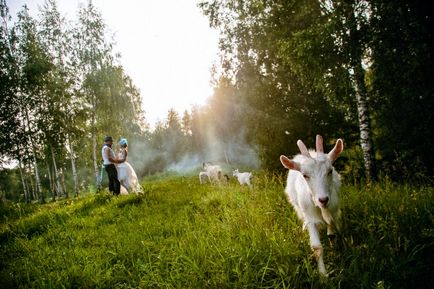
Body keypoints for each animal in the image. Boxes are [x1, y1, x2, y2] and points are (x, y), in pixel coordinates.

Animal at [280, 134, 344, 274]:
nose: (323, 199)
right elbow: (317, 247)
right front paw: (323, 275)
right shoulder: (310, 217)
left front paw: (335, 250)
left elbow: (332, 234)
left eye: (330, 171)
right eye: (305, 175)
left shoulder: (333, 211)